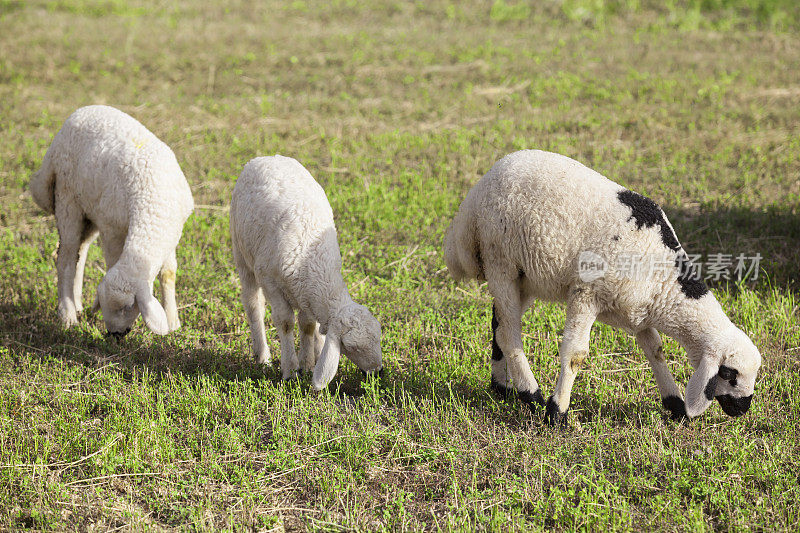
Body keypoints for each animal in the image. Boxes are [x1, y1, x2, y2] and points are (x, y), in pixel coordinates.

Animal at [30, 104, 195, 336]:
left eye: (128, 306)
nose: (115, 335)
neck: (152, 204)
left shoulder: (171, 233)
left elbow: (168, 273)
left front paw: (173, 322)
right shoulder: (112, 229)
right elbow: (111, 263)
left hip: (88, 210)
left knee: (80, 252)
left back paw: (77, 303)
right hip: (66, 198)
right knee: (65, 258)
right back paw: (68, 315)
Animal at [230, 153, 382, 386]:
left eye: (379, 336)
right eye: (350, 347)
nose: (378, 372)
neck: (314, 261)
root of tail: (265, 157)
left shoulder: (304, 293)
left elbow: (308, 325)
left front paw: (308, 364)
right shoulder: (271, 282)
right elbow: (285, 323)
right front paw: (290, 370)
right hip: (242, 254)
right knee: (253, 304)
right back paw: (262, 356)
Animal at [444, 149, 764, 424]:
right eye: (729, 374)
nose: (743, 408)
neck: (666, 285)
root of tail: (475, 193)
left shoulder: (637, 311)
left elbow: (656, 351)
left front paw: (675, 405)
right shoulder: (585, 294)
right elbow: (575, 355)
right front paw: (557, 413)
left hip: (527, 276)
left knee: (498, 322)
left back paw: (501, 387)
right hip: (500, 260)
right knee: (509, 332)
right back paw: (529, 393)